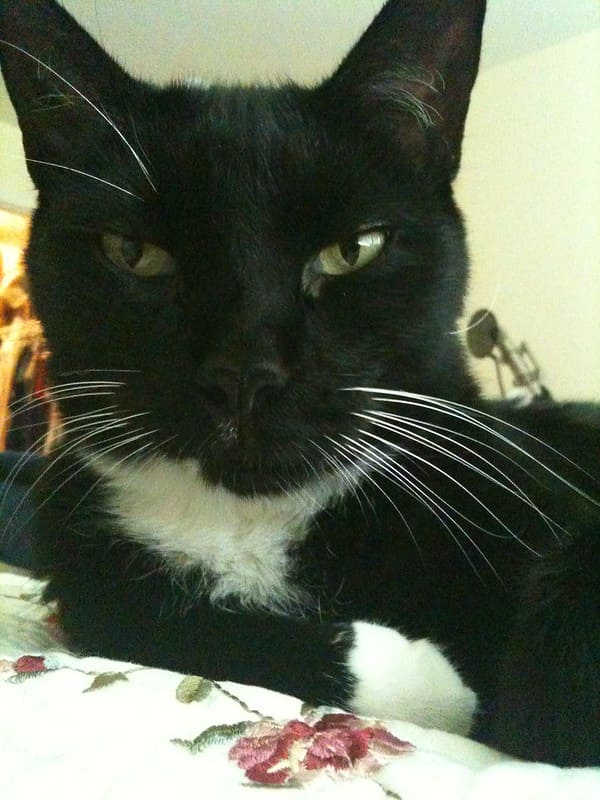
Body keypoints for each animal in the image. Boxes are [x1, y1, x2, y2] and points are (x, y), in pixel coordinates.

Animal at [1, 0, 600, 764]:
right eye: (134, 254)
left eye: (353, 250)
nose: (243, 372)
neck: (244, 519)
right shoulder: (79, 556)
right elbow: (145, 621)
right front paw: (424, 678)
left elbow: (544, 697)